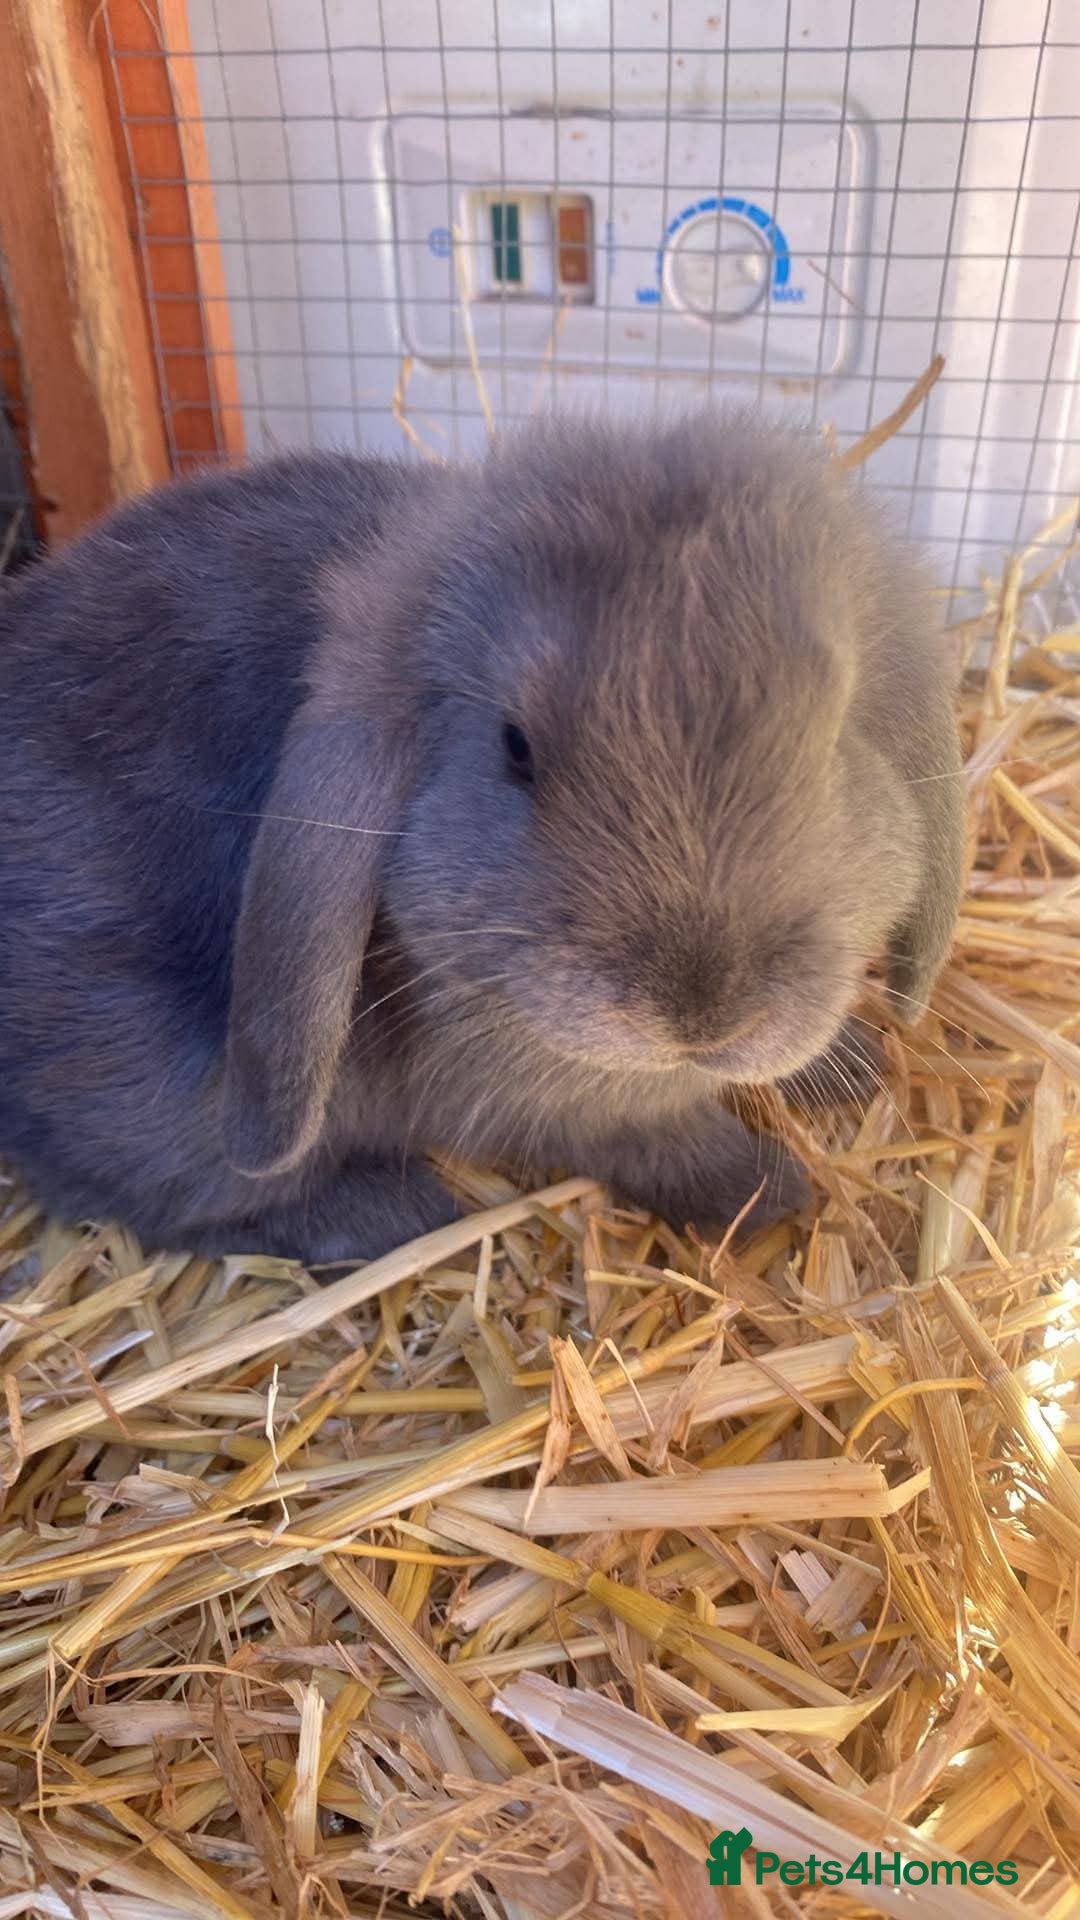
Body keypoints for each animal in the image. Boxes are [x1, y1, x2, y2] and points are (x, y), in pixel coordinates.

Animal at [0, 413, 964, 1264]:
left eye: (835, 739)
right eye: (515, 748)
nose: (702, 1010)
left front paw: (853, 1063)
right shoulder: (544, 1100)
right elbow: (650, 1137)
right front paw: (764, 1191)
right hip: (155, 1098)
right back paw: (394, 1212)